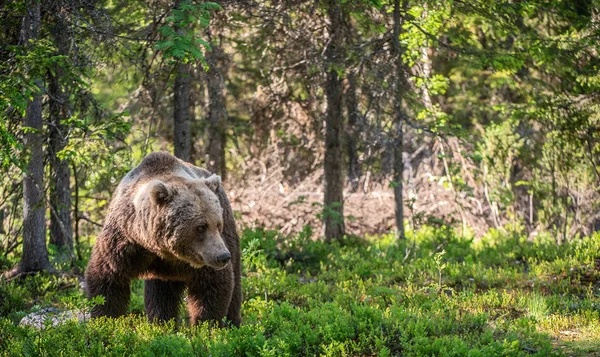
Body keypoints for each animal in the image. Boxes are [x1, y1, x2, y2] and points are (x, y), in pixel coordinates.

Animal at [84, 150, 241, 326]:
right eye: (201, 226)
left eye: (218, 224)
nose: (222, 256)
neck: (161, 248)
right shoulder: (124, 241)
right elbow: (107, 279)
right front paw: (105, 321)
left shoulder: (203, 256)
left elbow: (214, 285)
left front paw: (205, 324)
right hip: (164, 273)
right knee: (160, 294)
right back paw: (162, 323)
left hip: (229, 232)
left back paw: (233, 323)